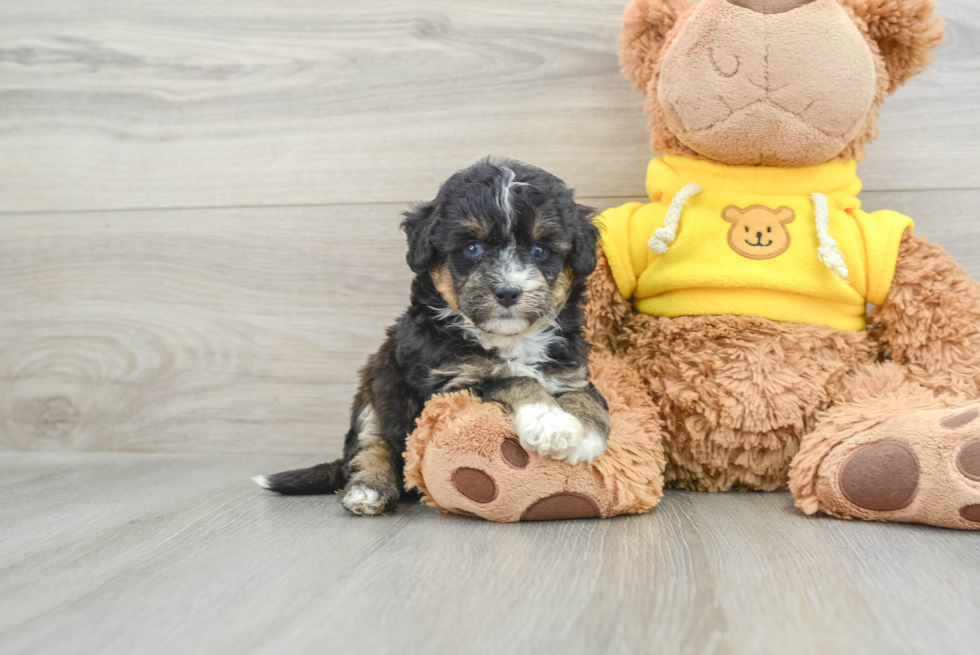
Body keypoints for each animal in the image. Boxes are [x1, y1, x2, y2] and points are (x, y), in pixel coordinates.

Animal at [253, 160, 608, 516]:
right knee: (371, 446)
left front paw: (586, 435)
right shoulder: (445, 385)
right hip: (374, 391)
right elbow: (512, 379)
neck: (508, 339)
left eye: (539, 250)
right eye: (472, 248)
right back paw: (369, 489)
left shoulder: (569, 370)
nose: (508, 291)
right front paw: (550, 423)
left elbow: (588, 395)